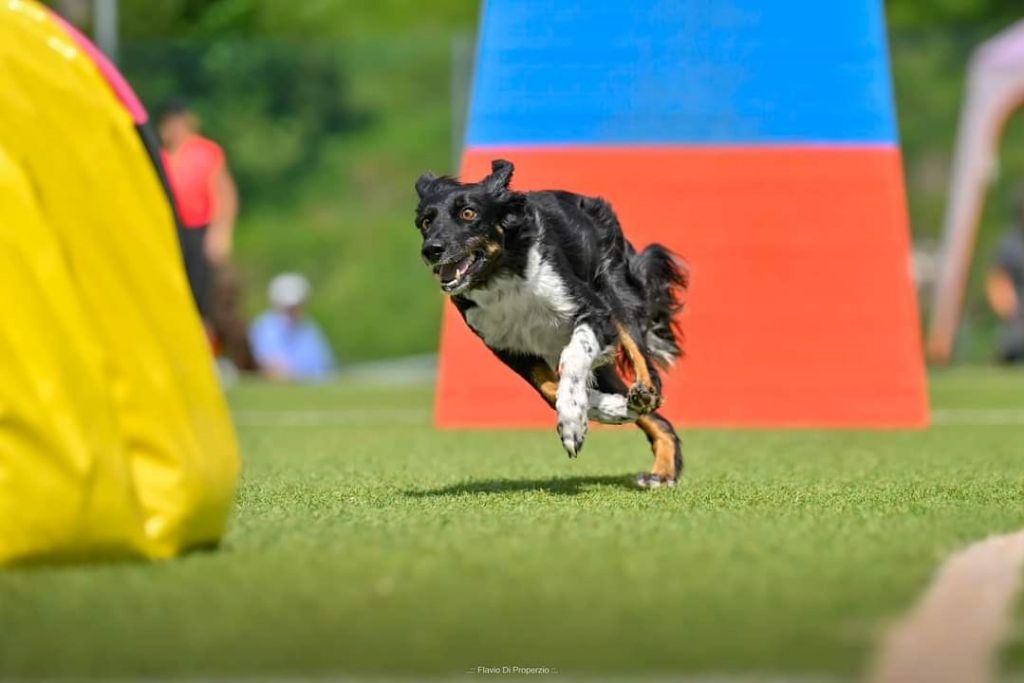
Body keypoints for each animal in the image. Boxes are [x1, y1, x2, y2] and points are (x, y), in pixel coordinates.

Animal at [413, 158, 688, 491]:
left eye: (469, 213)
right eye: (426, 222)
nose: (432, 249)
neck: (503, 272)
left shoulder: (594, 312)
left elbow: (572, 359)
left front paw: (571, 420)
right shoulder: (509, 347)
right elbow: (548, 390)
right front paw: (601, 410)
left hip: (615, 294)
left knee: (646, 370)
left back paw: (645, 397)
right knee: (654, 416)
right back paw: (656, 458)